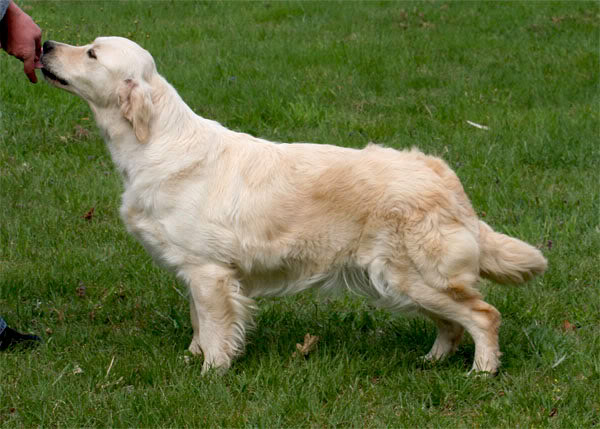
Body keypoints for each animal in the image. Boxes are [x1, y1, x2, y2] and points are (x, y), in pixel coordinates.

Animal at [41, 36, 548, 372]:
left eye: (91, 52)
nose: (44, 43)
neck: (155, 142)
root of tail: (445, 176)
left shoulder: (208, 271)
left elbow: (215, 327)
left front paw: (210, 373)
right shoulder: (194, 270)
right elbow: (198, 322)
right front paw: (193, 356)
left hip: (414, 275)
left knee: (483, 316)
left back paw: (482, 371)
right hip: (404, 280)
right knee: (452, 323)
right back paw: (433, 360)